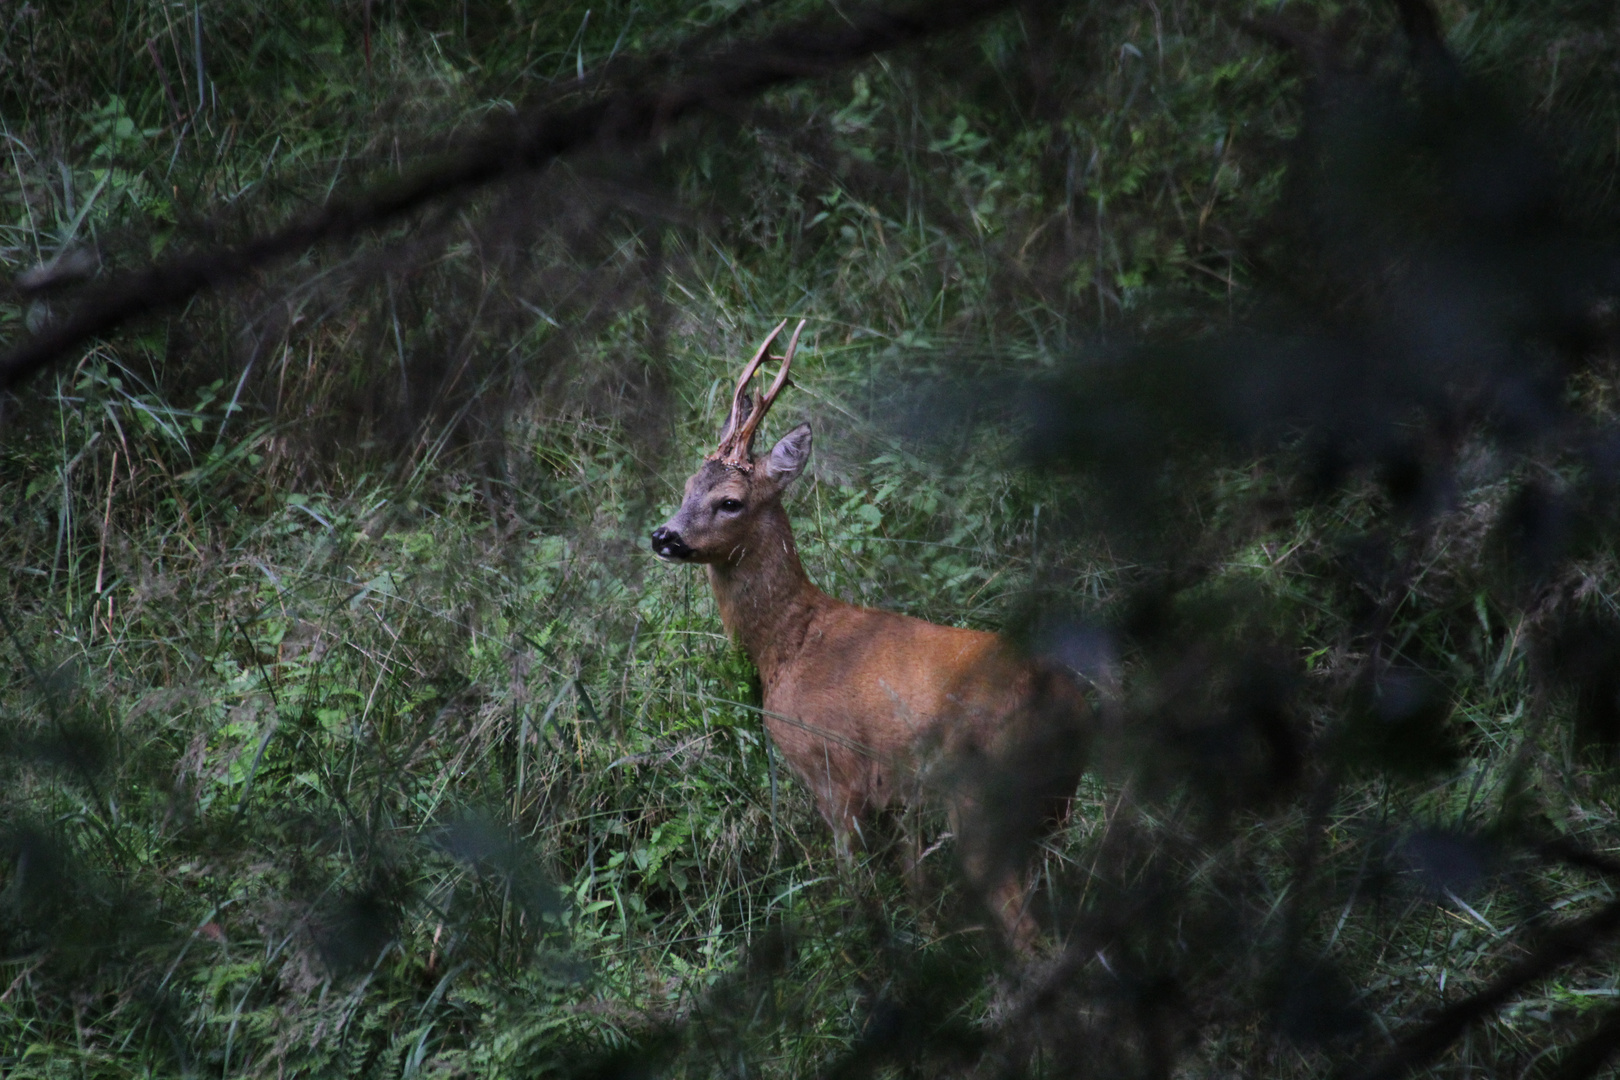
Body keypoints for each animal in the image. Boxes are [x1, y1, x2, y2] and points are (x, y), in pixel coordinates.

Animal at [648, 320, 1088, 945]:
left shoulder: (833, 772)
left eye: (729, 501)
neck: (790, 643)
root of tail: (1072, 706)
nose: (664, 536)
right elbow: (916, 887)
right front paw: (925, 941)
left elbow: (854, 887)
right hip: (1053, 810)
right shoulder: (901, 798)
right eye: (688, 484)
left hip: (987, 802)